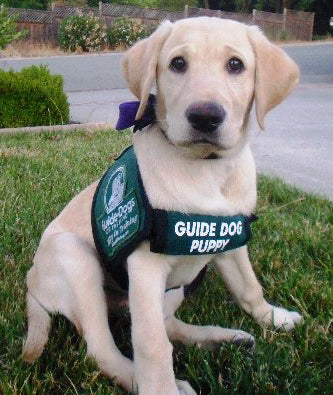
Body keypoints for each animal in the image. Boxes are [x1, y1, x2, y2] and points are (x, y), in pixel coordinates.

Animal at [24, 17, 300, 395]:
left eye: (236, 65)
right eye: (178, 63)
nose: (205, 116)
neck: (206, 169)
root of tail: (31, 279)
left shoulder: (230, 240)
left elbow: (249, 287)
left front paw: (273, 316)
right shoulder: (145, 267)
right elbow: (152, 345)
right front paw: (160, 388)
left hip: (173, 288)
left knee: (167, 324)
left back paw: (223, 339)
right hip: (78, 262)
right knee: (103, 348)